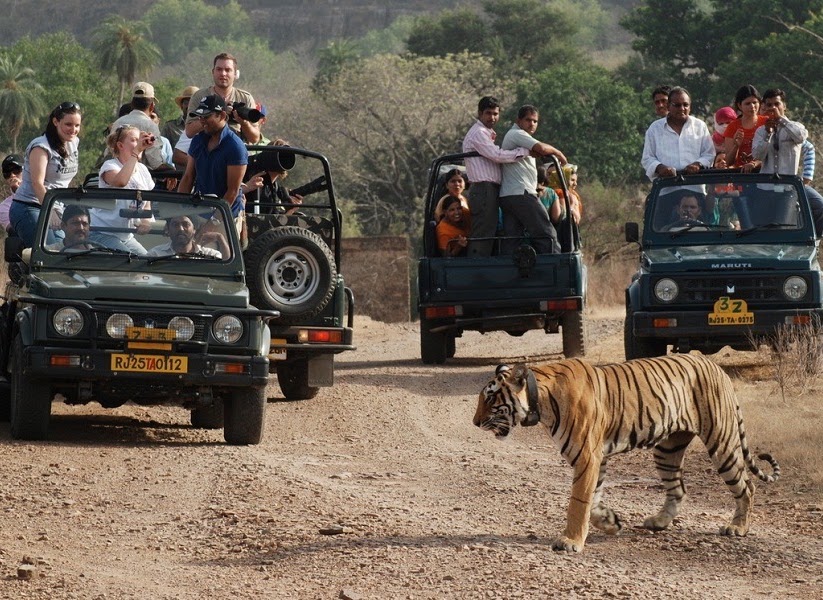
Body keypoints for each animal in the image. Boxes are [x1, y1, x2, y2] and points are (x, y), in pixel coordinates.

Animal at [473, 354, 780, 553]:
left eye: (490, 397)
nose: (475, 423)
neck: (541, 401)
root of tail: (716, 366)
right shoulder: (596, 458)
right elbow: (593, 500)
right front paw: (610, 523)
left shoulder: (587, 456)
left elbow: (578, 502)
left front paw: (571, 541)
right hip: (667, 449)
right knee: (678, 489)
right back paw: (659, 522)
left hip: (721, 441)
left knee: (747, 486)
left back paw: (738, 527)